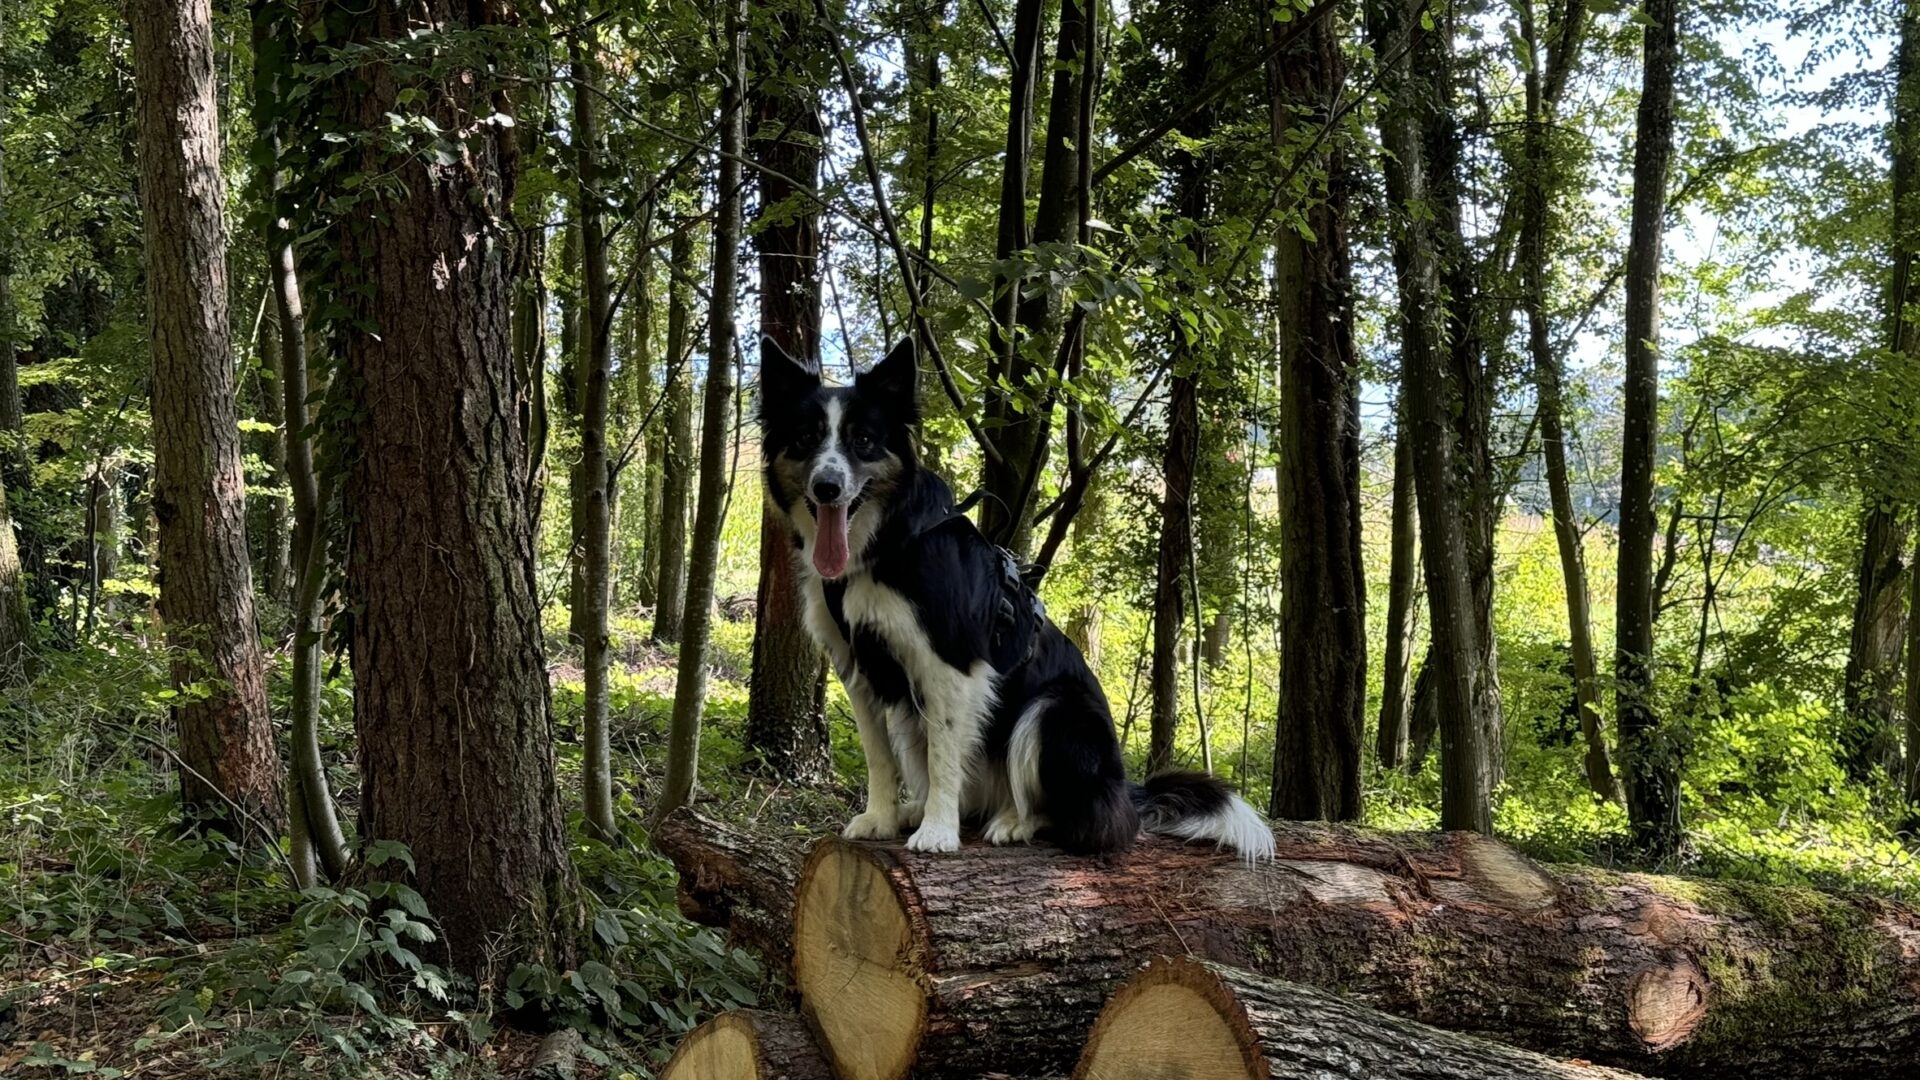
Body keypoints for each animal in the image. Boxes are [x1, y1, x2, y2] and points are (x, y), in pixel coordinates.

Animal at [752, 336, 1274, 857]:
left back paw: (1012, 822)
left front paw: (938, 832)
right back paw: (916, 809)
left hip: (1053, 710)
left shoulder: (949, 664)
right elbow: (879, 756)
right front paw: (880, 817)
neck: (884, 542)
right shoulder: (859, 669)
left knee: (1074, 817)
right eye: (806, 438)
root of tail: (1126, 791)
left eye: (863, 440)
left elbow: (944, 754)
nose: (827, 487)